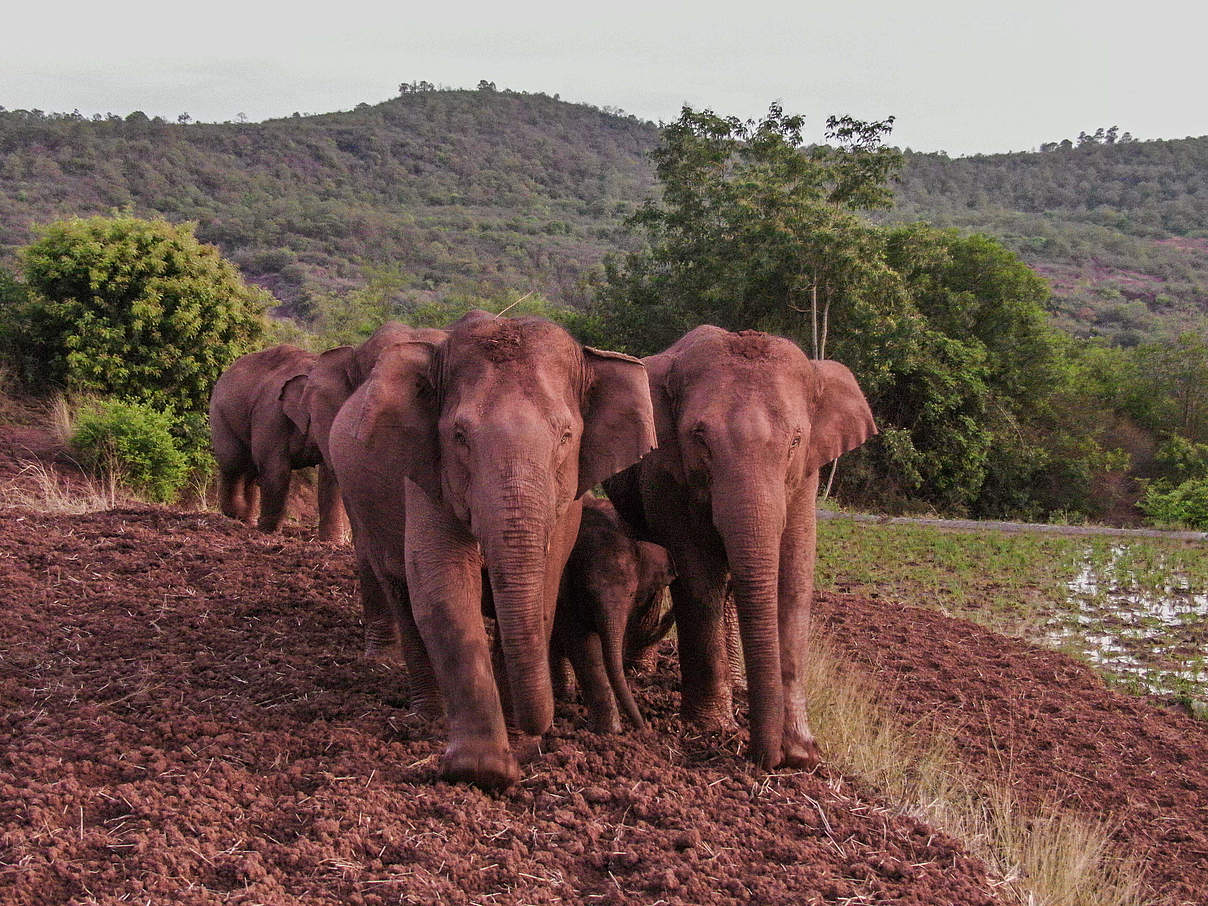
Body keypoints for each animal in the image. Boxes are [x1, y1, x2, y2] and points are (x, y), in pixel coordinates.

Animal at [210, 347, 343, 538]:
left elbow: (329, 477)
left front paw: (331, 541)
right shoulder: (271, 414)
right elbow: (276, 468)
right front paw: (269, 531)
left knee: (250, 471)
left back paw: (247, 519)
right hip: (220, 415)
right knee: (233, 462)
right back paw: (238, 516)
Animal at [326, 311, 657, 787]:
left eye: (566, 435)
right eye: (459, 435)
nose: (539, 729)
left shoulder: (569, 500)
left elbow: (544, 589)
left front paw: (516, 741)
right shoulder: (428, 473)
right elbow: (442, 588)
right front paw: (483, 771)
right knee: (400, 590)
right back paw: (427, 716)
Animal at [608, 326, 874, 773]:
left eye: (796, 440)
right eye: (700, 438)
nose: (770, 759)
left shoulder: (805, 477)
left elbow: (794, 579)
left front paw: (802, 750)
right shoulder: (667, 472)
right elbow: (699, 580)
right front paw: (712, 728)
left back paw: (736, 682)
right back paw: (641, 670)